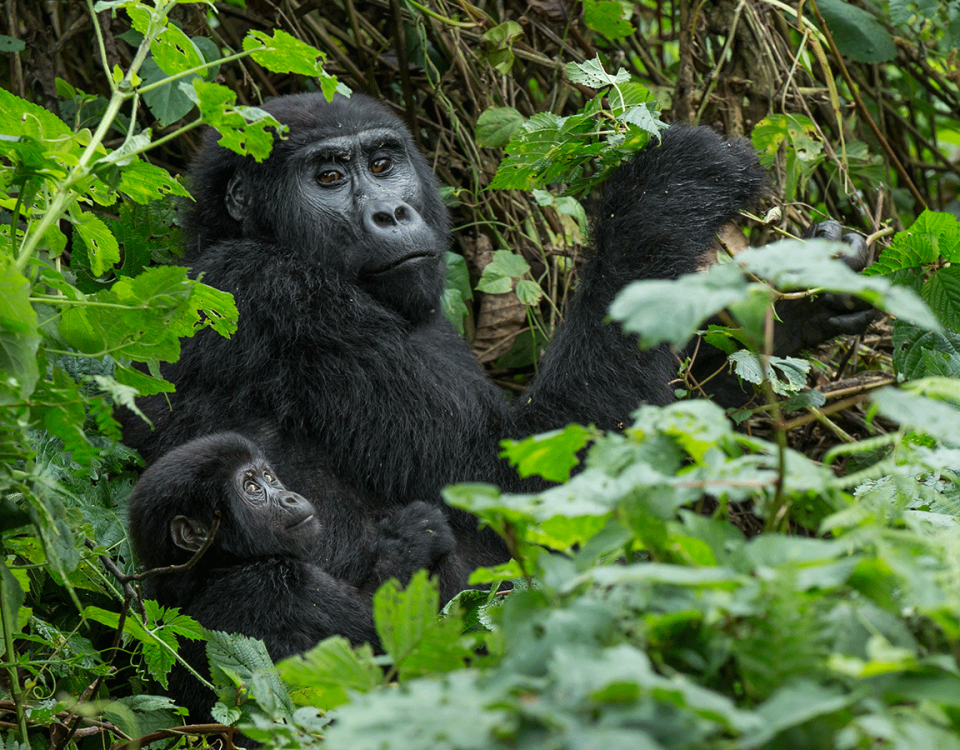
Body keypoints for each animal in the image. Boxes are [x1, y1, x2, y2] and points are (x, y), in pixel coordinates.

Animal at [122, 91, 872, 604]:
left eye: (383, 163)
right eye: (328, 178)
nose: (391, 212)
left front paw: (799, 302)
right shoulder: (281, 297)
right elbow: (525, 480)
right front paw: (669, 187)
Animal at [127, 434, 454, 724]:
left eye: (269, 477)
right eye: (250, 486)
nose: (290, 496)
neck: (210, 567)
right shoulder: (279, 581)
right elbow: (384, 640)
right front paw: (412, 536)